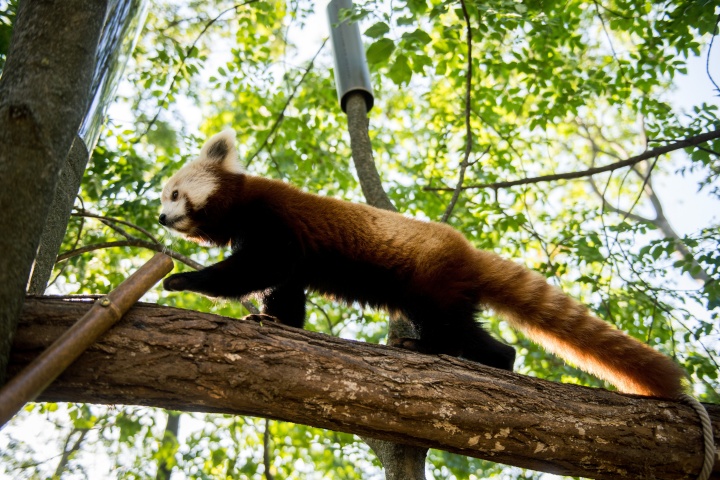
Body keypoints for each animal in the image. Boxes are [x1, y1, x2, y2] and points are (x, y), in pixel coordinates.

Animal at [162, 127, 688, 398]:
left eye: (173, 194)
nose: (163, 218)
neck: (240, 199)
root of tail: (468, 252)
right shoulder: (287, 253)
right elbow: (282, 287)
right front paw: (274, 320)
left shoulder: (273, 224)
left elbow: (255, 270)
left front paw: (183, 280)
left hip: (430, 284)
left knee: (457, 329)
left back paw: (449, 352)